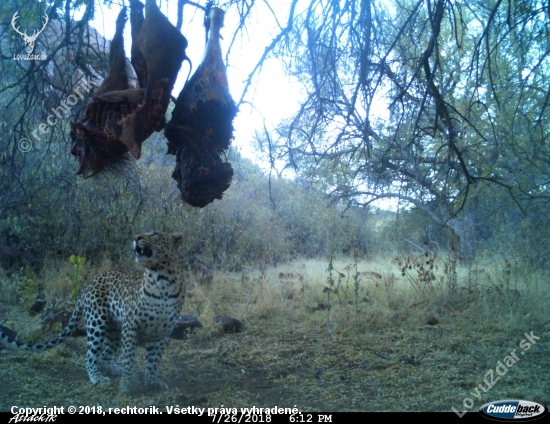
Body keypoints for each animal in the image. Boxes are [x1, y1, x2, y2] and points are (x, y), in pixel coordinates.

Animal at [0, 232, 187, 394]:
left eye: (155, 234)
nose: (136, 237)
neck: (162, 279)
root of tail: (90, 283)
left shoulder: (162, 333)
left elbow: (153, 361)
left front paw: (152, 381)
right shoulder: (131, 326)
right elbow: (129, 357)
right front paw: (127, 384)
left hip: (114, 330)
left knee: (104, 355)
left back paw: (115, 369)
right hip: (98, 322)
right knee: (90, 356)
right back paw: (98, 377)